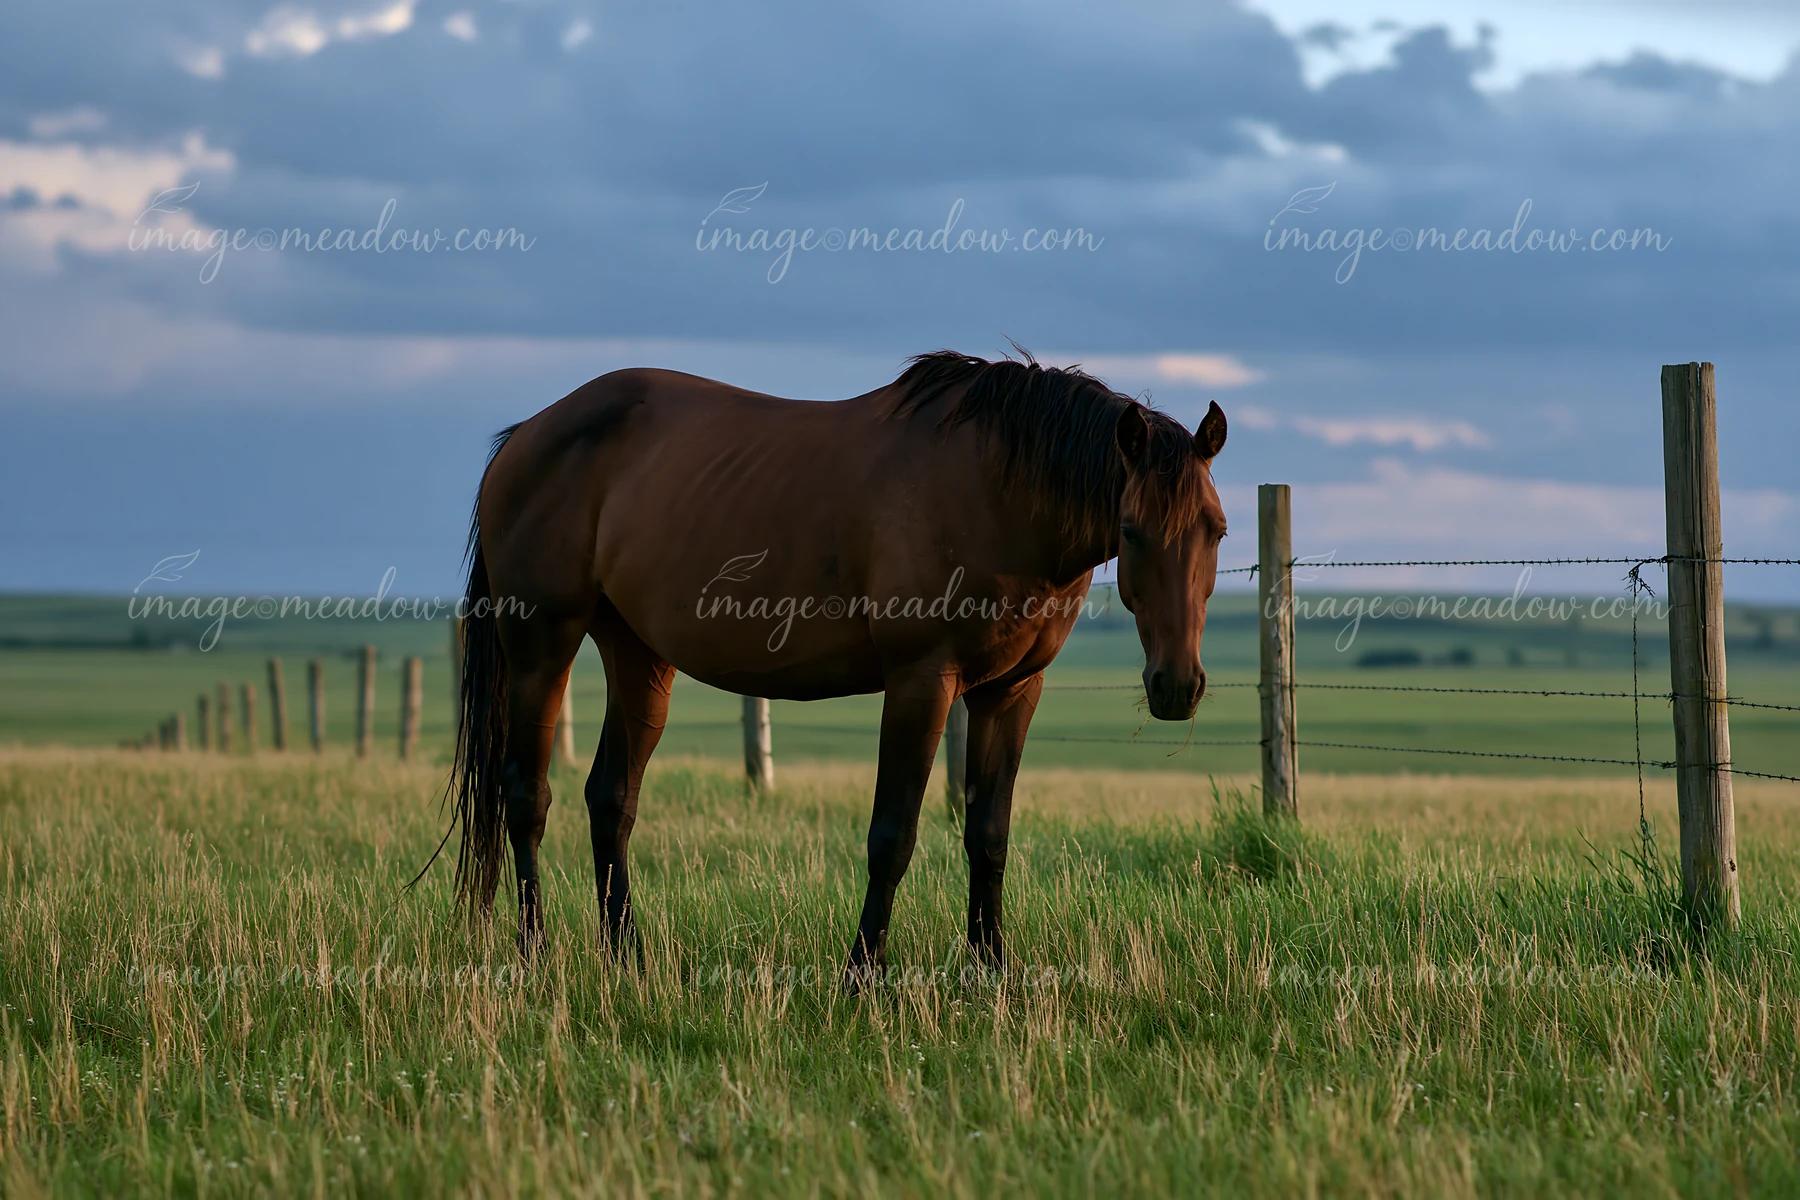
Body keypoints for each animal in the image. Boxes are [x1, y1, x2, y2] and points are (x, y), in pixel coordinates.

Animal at [448, 350, 1229, 986]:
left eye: (1216, 530)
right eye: (1131, 529)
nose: (1177, 686)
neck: (996, 491)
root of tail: (525, 436)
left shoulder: (1010, 692)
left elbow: (989, 835)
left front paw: (993, 972)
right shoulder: (921, 681)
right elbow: (893, 836)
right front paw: (861, 977)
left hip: (637, 655)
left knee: (611, 799)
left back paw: (628, 959)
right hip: (542, 643)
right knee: (526, 795)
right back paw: (535, 953)